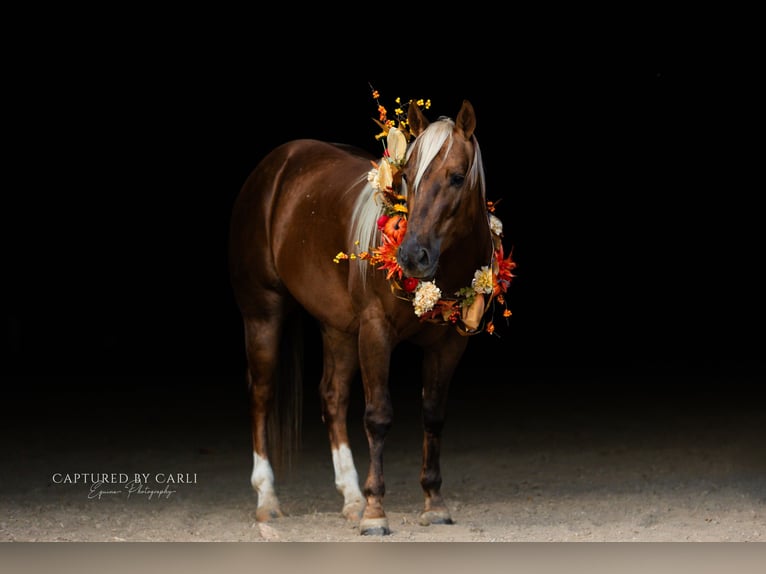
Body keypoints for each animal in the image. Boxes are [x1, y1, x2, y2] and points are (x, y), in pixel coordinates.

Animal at [229, 98, 514, 535]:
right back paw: (268, 499)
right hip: (263, 313)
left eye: (457, 177)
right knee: (261, 394)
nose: (411, 256)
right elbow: (378, 416)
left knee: (332, 397)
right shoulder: (376, 331)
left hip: (338, 328)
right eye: (407, 176)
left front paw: (433, 503)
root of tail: (274, 166)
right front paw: (376, 513)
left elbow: (433, 416)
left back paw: (350, 497)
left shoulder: (448, 346)